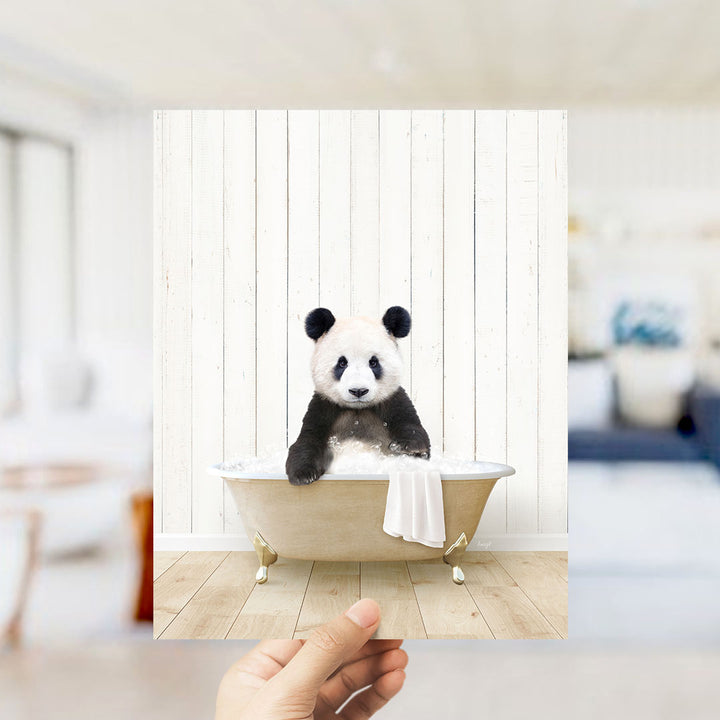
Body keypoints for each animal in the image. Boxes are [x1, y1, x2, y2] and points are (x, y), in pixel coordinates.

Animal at [286, 306, 431, 485]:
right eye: (342, 363)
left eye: (373, 362)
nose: (358, 391)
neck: (358, 409)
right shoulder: (324, 405)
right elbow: (308, 438)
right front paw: (303, 475)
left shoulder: (393, 399)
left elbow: (414, 430)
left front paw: (406, 447)